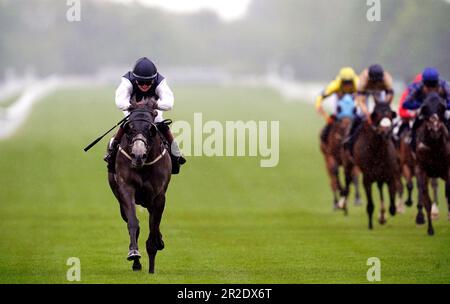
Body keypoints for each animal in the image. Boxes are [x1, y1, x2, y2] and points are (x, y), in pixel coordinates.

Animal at [108, 103, 171, 272]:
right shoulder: (126, 188)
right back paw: (136, 262)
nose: (138, 155)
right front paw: (134, 253)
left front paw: (152, 266)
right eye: (129, 128)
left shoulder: (158, 196)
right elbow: (133, 223)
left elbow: (153, 228)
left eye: (151, 129)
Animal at [414, 92, 450, 235]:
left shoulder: (448, 169)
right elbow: (426, 200)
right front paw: (430, 229)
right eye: (425, 108)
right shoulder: (422, 170)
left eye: (441, 107)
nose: (435, 129)